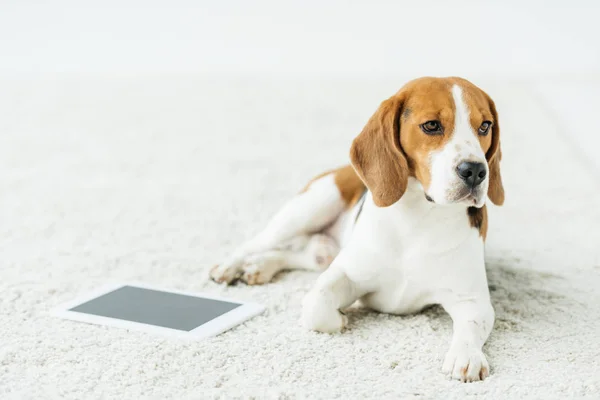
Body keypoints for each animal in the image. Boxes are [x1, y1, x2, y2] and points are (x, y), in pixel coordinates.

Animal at [209, 76, 504, 382]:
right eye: (432, 125)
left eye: (485, 126)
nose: (476, 171)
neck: (419, 217)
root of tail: (344, 168)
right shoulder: (347, 274)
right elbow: (316, 304)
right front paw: (340, 318)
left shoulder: (473, 300)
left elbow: (470, 327)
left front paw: (466, 355)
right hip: (309, 207)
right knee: (257, 243)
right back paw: (230, 266)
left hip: (321, 249)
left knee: (304, 254)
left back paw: (261, 267)